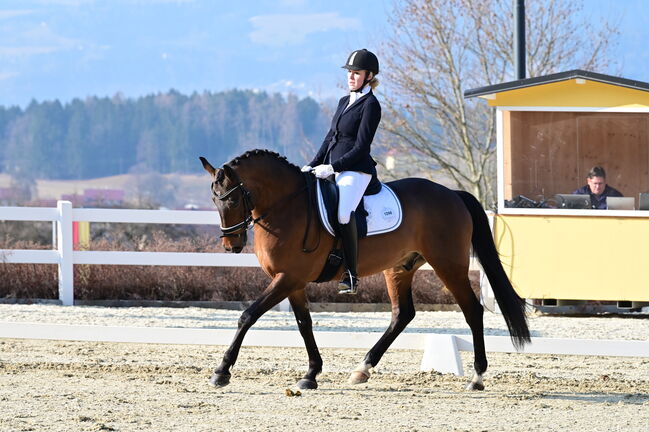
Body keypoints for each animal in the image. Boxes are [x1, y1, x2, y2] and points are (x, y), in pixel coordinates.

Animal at [200, 149, 528, 392]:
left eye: (231, 198)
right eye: (214, 199)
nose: (231, 244)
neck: (286, 206)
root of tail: (452, 193)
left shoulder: (289, 278)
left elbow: (248, 315)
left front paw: (222, 371)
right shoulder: (292, 281)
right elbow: (304, 324)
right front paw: (311, 374)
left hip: (449, 265)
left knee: (472, 310)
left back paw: (477, 378)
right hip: (399, 268)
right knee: (402, 314)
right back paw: (362, 369)